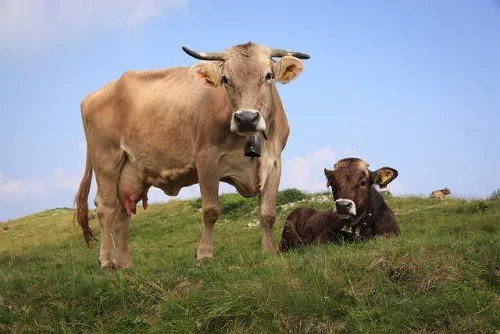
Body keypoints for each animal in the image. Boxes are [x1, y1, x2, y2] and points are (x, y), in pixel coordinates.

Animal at [74, 42, 308, 268]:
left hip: (131, 173)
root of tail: (93, 95)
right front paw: (204, 254)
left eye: (268, 75)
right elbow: (211, 210)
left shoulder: (274, 162)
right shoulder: (207, 159)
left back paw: (125, 265)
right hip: (106, 159)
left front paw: (269, 252)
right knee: (105, 208)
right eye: (225, 79)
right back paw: (107, 261)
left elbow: (268, 213)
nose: (246, 118)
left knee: (122, 216)